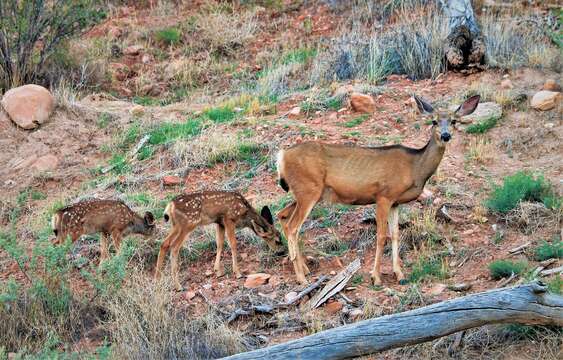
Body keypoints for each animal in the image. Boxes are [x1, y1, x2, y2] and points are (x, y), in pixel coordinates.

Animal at [154, 190, 284, 292]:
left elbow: (220, 243)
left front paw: (217, 270)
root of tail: (170, 205)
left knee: (164, 244)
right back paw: (178, 286)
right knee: (174, 247)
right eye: (277, 240)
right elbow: (233, 244)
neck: (244, 212)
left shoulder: (219, 222)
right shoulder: (229, 218)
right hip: (188, 223)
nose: (281, 252)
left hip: (176, 225)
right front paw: (237, 273)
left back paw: (158, 280)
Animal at [278, 95, 480, 284]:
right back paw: (301, 278)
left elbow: (396, 234)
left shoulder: (396, 202)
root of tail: (282, 155)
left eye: (454, 121)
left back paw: (304, 269)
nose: (446, 136)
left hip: (306, 193)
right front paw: (376, 276)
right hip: (308, 190)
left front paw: (399, 274)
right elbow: (382, 236)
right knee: (293, 226)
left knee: (283, 216)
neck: (414, 167)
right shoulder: (383, 196)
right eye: (434, 121)